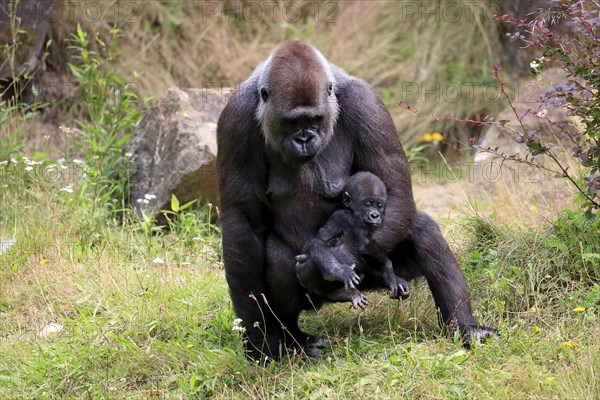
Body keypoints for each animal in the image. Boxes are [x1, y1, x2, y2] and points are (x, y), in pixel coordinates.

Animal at [294, 170, 408, 308]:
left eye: (379, 205)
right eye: (367, 204)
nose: (375, 215)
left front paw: (393, 276)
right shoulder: (342, 217)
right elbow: (318, 241)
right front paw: (337, 271)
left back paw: (343, 293)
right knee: (343, 248)